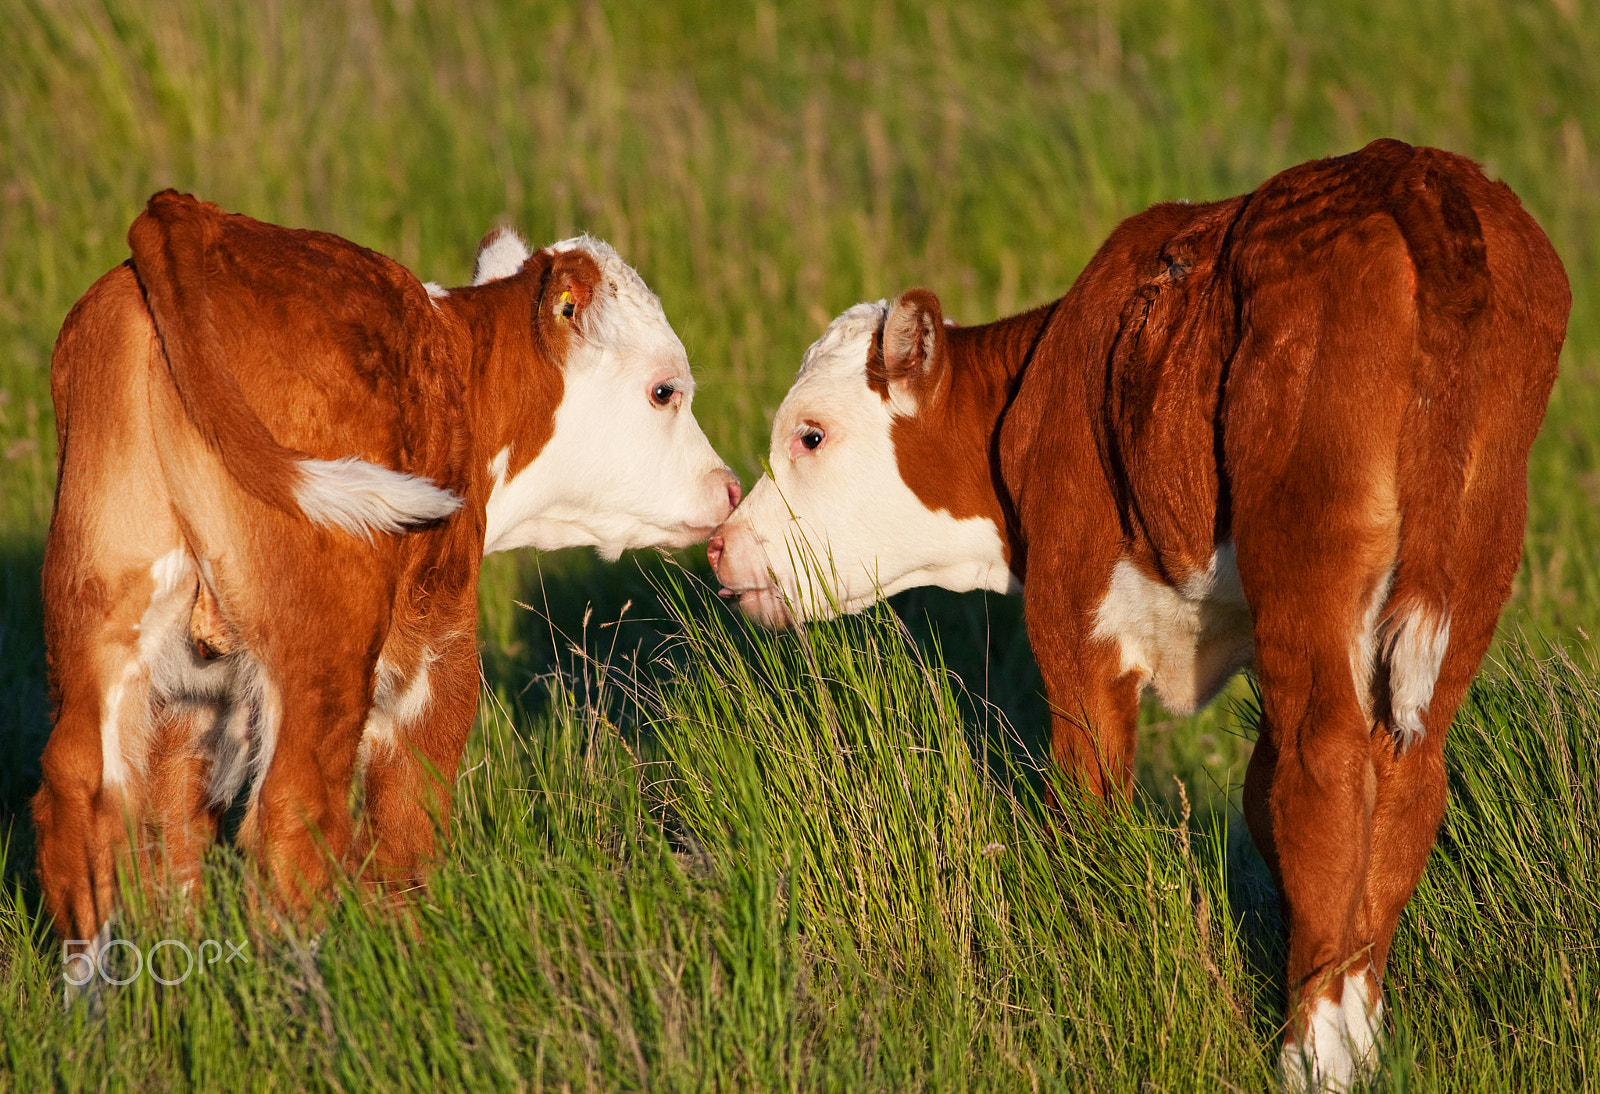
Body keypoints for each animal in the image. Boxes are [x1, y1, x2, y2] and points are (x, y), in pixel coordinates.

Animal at [37, 194, 736, 946]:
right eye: (665, 391)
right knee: (294, 808)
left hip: (100, 606)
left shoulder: (191, 707)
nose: (728, 488)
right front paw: (412, 938)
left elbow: (172, 830)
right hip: (326, 636)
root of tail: (192, 215)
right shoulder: (441, 641)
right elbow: (408, 806)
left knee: (78, 791)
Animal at [713, 140, 1574, 1087]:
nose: (722, 545)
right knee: (1403, 777)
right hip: (1473, 551)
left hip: (1311, 541)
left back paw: (1311, 1056)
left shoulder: (1072, 616)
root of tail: (1413, 173)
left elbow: (1090, 799)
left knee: (1324, 770)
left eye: (811, 435)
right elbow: (1259, 801)